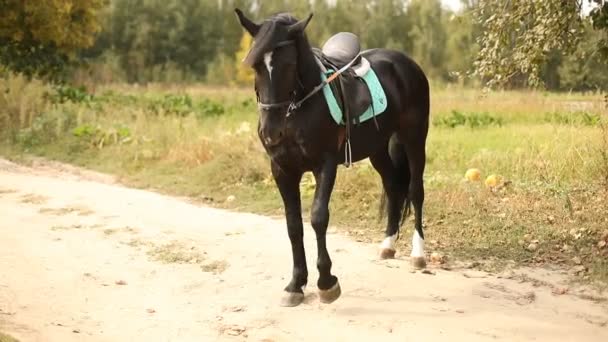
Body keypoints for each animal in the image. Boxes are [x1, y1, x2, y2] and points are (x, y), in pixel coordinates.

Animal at [235, 8, 430, 308]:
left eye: (288, 64)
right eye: (255, 65)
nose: (270, 132)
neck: (299, 109)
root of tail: (407, 64)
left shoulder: (324, 165)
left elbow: (318, 217)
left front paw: (327, 283)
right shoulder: (282, 170)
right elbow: (293, 225)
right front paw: (295, 284)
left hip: (414, 139)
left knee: (415, 190)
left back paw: (418, 254)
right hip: (377, 149)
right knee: (393, 188)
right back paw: (387, 245)